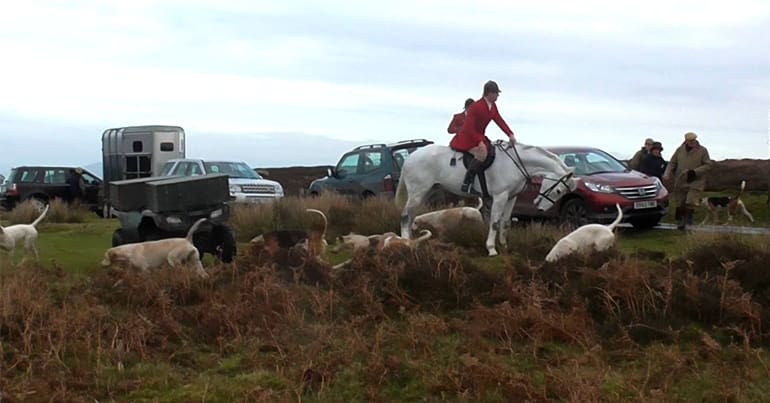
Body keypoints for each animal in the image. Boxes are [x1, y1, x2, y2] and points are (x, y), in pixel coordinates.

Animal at [400, 140, 572, 258]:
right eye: (558, 190)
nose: (540, 208)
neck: (514, 164)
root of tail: (410, 157)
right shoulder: (500, 196)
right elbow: (495, 223)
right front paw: (491, 249)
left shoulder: (511, 197)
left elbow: (505, 222)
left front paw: (504, 246)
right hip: (417, 192)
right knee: (405, 216)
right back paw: (406, 241)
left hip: (426, 192)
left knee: (411, 216)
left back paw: (413, 239)